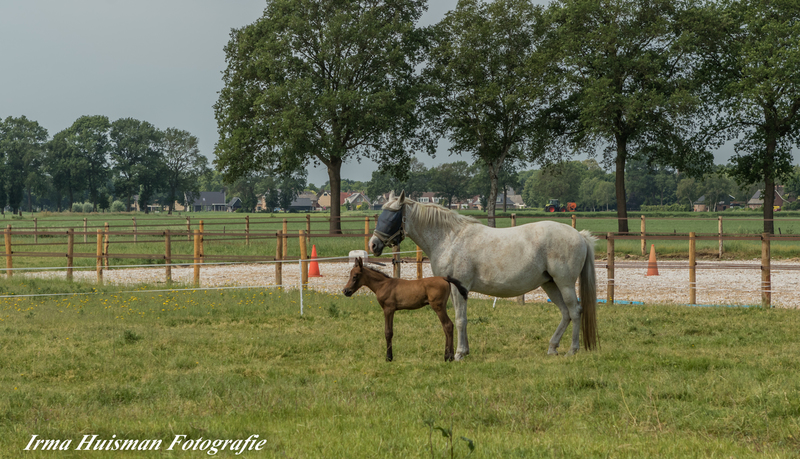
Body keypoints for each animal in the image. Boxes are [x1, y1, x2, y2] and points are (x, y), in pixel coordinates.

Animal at [369, 191, 598, 360]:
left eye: (392, 216)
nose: (373, 244)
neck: (450, 238)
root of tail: (579, 236)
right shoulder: (456, 289)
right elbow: (461, 318)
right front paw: (465, 350)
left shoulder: (459, 287)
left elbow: (460, 319)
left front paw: (459, 354)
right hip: (550, 284)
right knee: (566, 313)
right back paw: (552, 347)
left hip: (564, 283)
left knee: (575, 311)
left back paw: (572, 350)